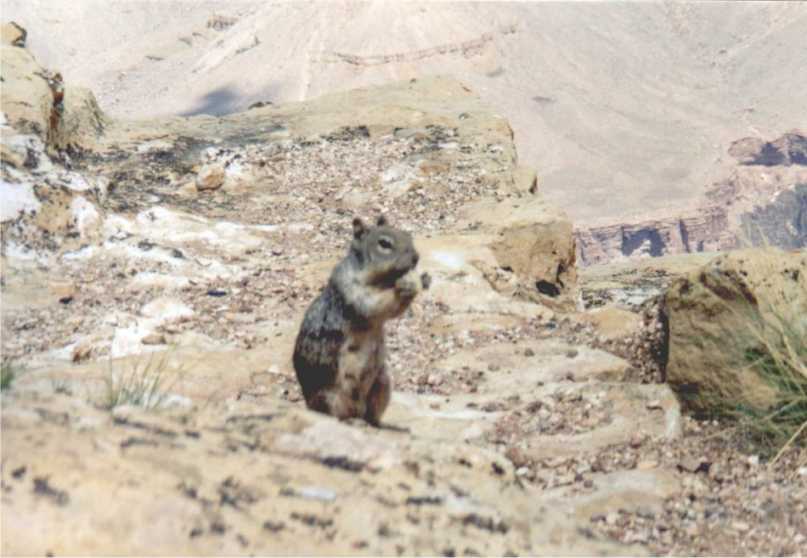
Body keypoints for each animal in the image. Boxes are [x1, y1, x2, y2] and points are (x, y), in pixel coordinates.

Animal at [296, 217, 430, 426]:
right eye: (384, 243)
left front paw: (422, 279)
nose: (416, 257)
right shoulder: (352, 289)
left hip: (382, 382)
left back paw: (376, 423)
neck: (382, 281)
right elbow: (373, 304)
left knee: (370, 414)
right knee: (335, 415)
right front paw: (407, 284)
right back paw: (351, 421)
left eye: (407, 235)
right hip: (330, 396)